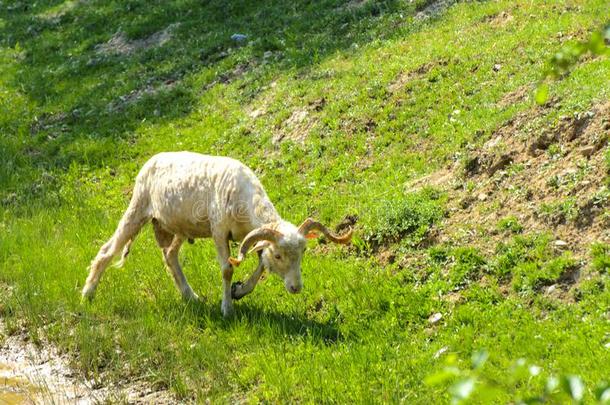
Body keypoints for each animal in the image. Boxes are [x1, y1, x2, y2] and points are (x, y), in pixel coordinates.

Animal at [83, 152, 354, 316]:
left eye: (303, 252)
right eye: (279, 256)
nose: (296, 288)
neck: (246, 198)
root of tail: (153, 158)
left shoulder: (250, 236)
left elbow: (259, 265)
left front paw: (239, 291)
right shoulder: (219, 230)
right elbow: (227, 269)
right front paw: (227, 308)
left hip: (179, 227)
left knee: (170, 256)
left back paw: (190, 296)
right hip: (138, 206)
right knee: (107, 251)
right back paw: (88, 294)